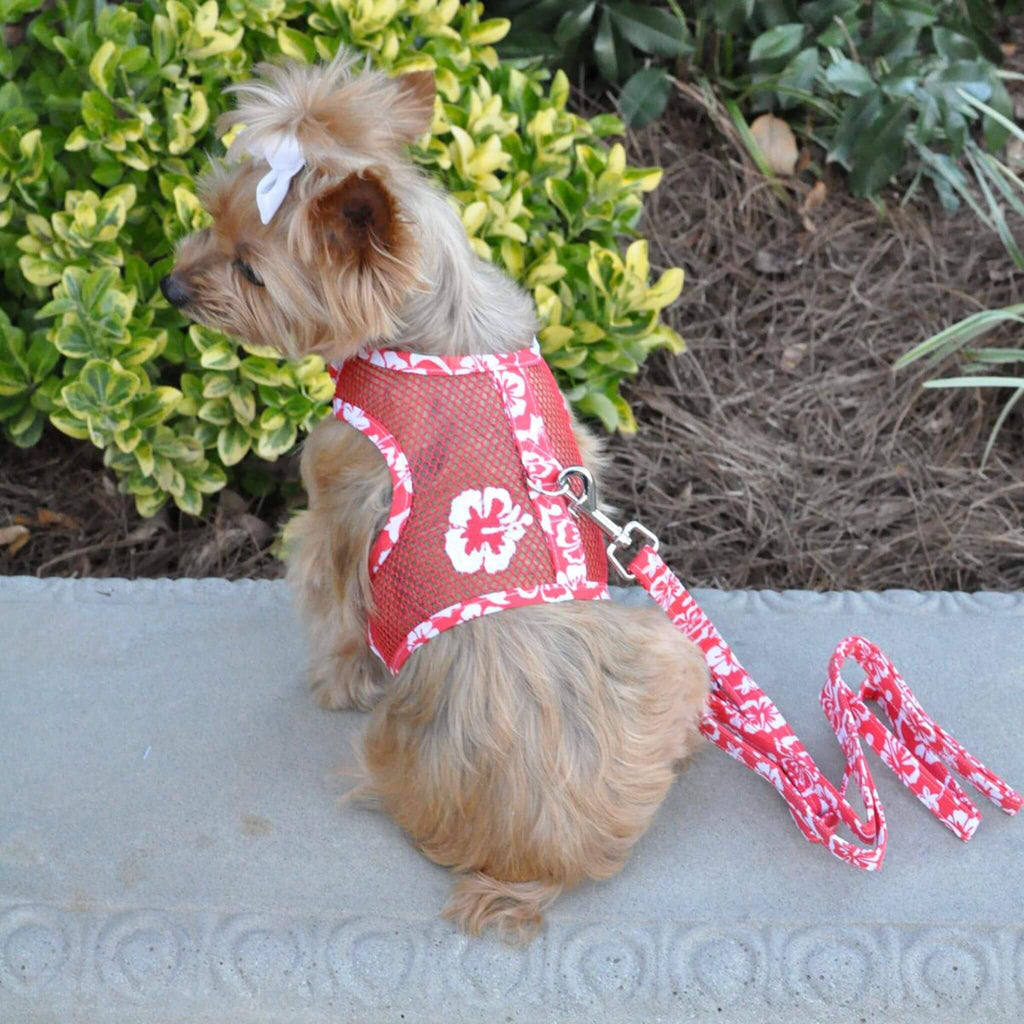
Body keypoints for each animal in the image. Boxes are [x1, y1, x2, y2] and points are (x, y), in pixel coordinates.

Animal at [163, 51, 708, 937]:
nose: (173, 288)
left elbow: (335, 615)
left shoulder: (334, 513)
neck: (436, 328)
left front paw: (336, 682)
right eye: (211, 217)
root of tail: (542, 864)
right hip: (669, 647)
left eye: (250, 268)